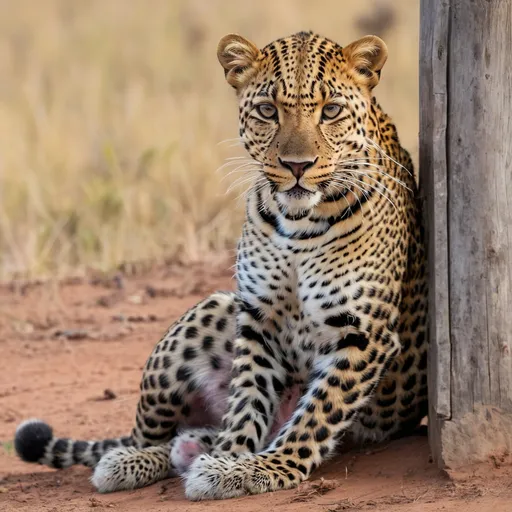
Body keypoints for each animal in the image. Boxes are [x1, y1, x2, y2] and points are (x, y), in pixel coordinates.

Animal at [14, 31, 426, 500]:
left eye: (331, 111)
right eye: (268, 110)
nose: (297, 166)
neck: (298, 225)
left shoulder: (362, 333)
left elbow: (314, 416)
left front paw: (262, 467)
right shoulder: (259, 318)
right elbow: (247, 399)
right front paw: (230, 458)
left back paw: (186, 450)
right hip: (208, 315)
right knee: (153, 433)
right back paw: (133, 460)